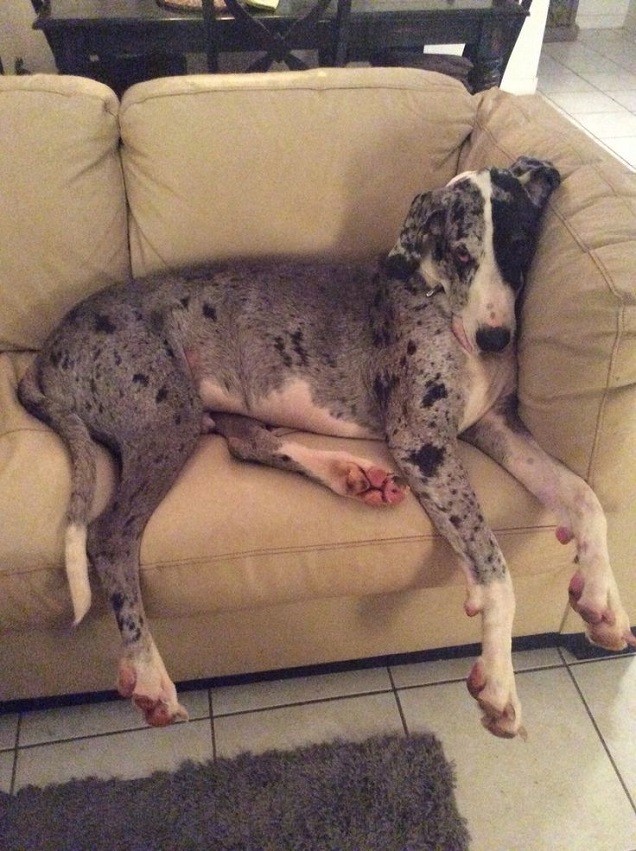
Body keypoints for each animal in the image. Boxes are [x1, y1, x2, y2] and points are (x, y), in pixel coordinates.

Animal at [19, 158, 636, 740]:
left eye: (518, 245)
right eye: (462, 253)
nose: (496, 339)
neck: (434, 292)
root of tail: (46, 353)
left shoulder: (493, 427)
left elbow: (584, 495)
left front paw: (602, 601)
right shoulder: (423, 442)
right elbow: (496, 569)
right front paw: (501, 686)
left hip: (200, 409)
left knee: (250, 444)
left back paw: (352, 476)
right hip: (165, 420)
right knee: (110, 536)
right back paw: (149, 674)